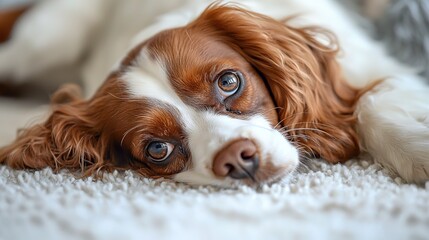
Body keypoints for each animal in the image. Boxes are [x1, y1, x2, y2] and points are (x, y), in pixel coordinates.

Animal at [0, 0, 428, 187]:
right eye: (158, 148)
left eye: (228, 82)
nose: (238, 159)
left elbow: (368, 103)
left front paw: (417, 151)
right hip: (44, 42)